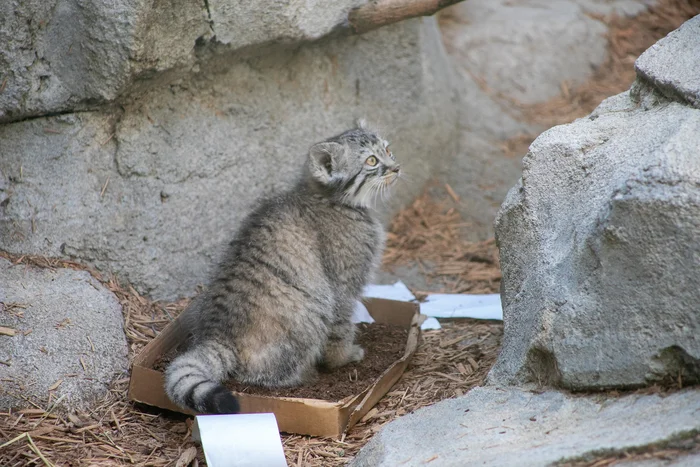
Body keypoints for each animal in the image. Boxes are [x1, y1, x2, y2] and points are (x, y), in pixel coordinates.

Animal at [165, 122, 402, 414]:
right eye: (371, 161)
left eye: (388, 150)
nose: (396, 167)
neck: (329, 198)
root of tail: (218, 332)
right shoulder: (342, 287)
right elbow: (341, 327)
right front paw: (343, 358)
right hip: (312, 311)